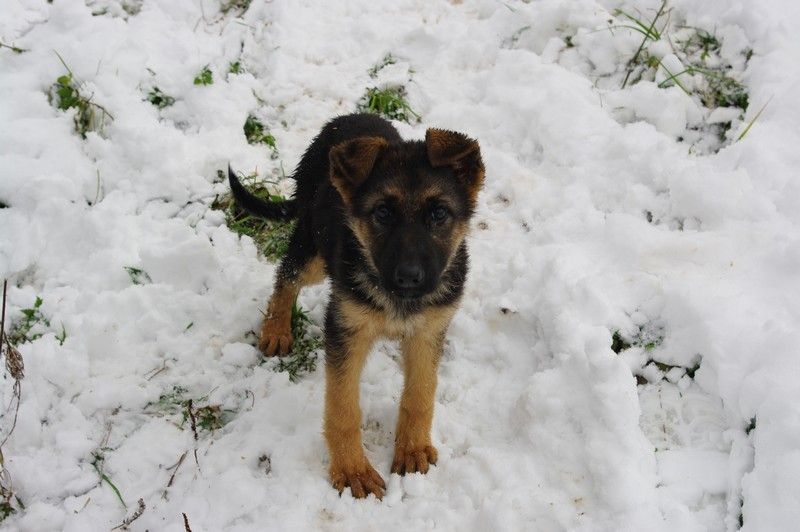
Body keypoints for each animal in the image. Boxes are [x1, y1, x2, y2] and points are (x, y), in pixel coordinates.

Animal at [228, 112, 484, 498]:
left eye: (439, 214)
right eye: (382, 213)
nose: (409, 278)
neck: (398, 302)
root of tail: (348, 118)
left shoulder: (429, 331)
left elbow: (420, 394)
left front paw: (412, 448)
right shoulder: (346, 328)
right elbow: (343, 407)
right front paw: (352, 470)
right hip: (313, 248)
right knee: (286, 276)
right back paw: (276, 328)